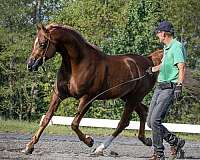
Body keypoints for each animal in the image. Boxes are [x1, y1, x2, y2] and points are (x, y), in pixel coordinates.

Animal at [23, 23, 162, 155]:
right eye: (35, 42)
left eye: (42, 44)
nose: (30, 65)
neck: (78, 64)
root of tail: (149, 61)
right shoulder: (59, 95)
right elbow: (46, 119)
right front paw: (29, 147)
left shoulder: (87, 99)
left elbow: (74, 124)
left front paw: (89, 141)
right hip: (128, 97)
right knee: (142, 112)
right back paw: (146, 140)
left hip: (134, 98)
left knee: (123, 122)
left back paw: (100, 149)